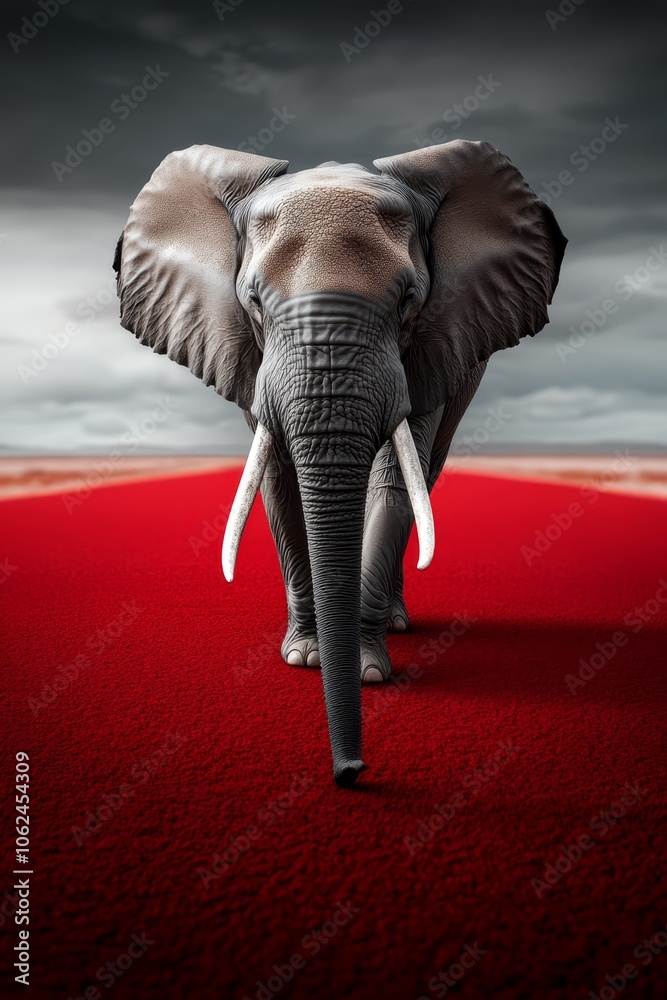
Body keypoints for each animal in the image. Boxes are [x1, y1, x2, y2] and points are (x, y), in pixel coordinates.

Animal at [113, 140, 566, 788]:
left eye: (408, 300)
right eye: (253, 300)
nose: (350, 770)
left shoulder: (430, 347)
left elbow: (394, 478)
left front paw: (368, 670)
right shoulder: (250, 356)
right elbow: (278, 481)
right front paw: (306, 658)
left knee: (424, 472)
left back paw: (397, 622)